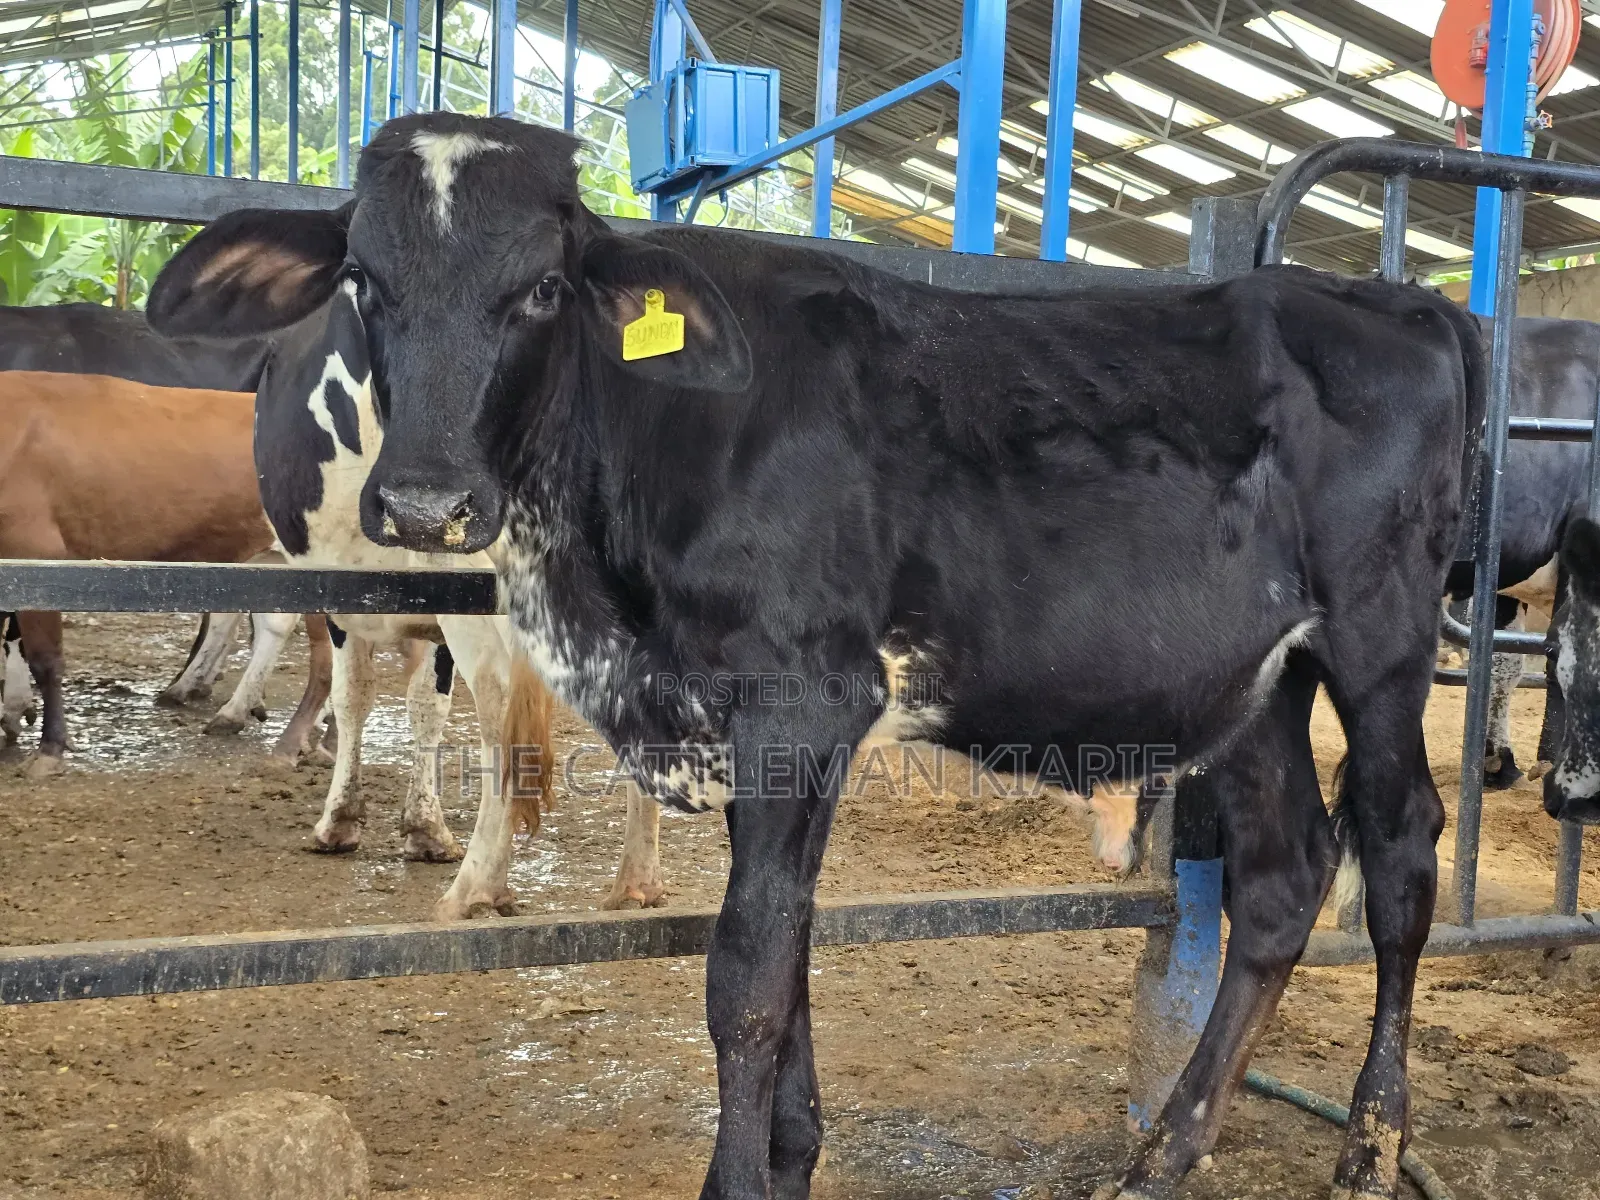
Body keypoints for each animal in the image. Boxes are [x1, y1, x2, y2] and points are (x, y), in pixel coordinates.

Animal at [147, 112, 1485, 1200]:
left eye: (541, 288)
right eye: (362, 278)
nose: (425, 503)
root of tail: (1374, 297)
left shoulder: (804, 702)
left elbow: (744, 973)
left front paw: (741, 1179)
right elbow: (781, 953)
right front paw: (791, 1157)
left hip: (1378, 637)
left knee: (1399, 855)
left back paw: (1371, 1150)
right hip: (1253, 677)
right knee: (1282, 875)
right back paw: (1166, 1149)